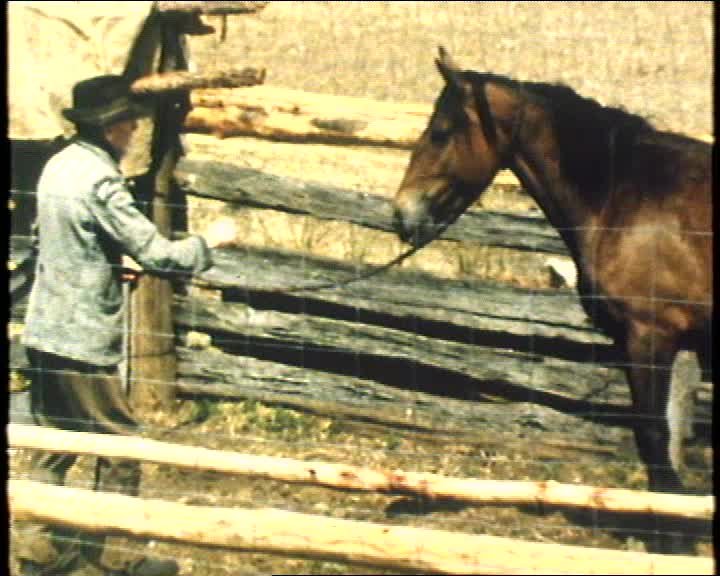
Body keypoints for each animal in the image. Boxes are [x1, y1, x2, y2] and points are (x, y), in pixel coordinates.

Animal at [393, 47, 712, 551]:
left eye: (441, 131)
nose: (402, 214)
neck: (627, 192)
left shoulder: (649, 336)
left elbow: (652, 434)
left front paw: (670, 538)